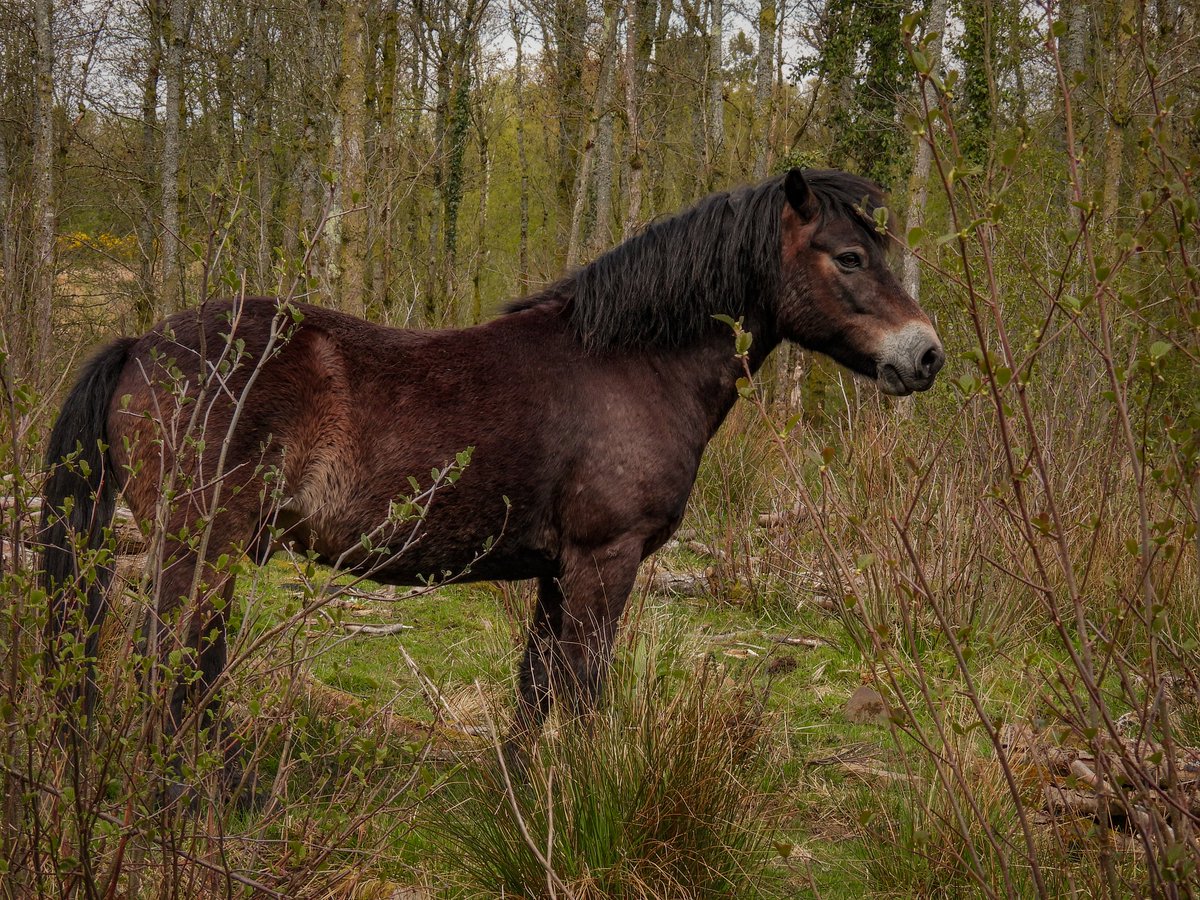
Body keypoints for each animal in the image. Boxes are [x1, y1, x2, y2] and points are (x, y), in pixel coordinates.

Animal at [39, 168, 945, 753]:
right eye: (850, 256)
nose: (925, 355)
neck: (631, 363)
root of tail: (142, 345)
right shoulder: (605, 561)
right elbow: (582, 694)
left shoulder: (558, 571)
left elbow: (535, 690)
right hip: (203, 549)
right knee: (175, 667)